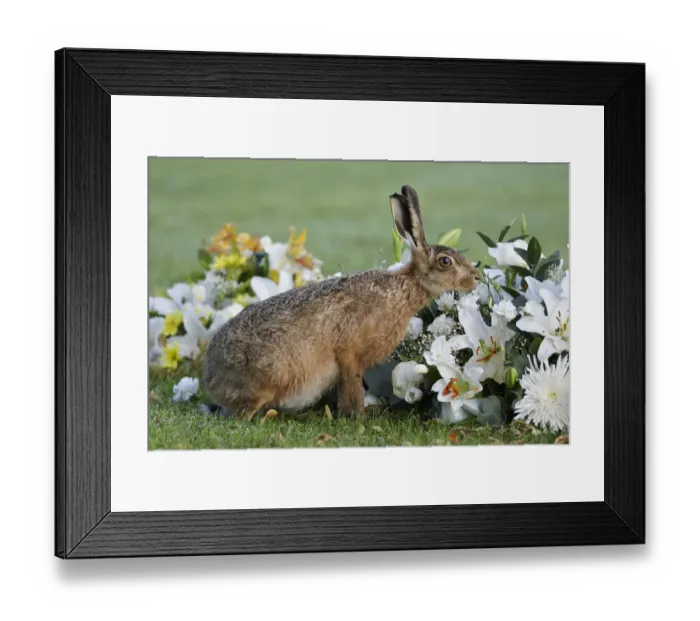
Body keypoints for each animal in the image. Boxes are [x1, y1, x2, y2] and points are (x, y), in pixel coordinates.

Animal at [202, 185, 480, 418]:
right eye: (445, 262)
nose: (476, 277)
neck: (403, 289)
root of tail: (212, 376)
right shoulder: (349, 354)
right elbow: (352, 386)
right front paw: (359, 415)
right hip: (268, 378)